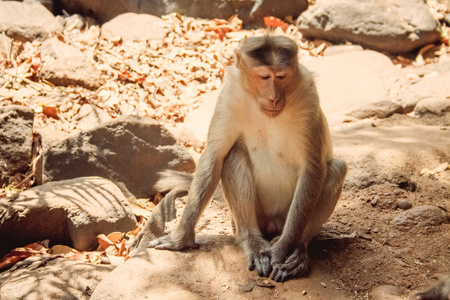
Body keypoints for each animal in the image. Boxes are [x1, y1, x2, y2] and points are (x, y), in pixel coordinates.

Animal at [149, 34, 346, 282]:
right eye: (264, 76)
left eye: (282, 76)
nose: (273, 98)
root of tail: (271, 224)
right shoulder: (229, 95)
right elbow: (215, 157)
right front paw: (180, 239)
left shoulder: (308, 96)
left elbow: (313, 168)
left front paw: (283, 250)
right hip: (254, 218)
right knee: (233, 155)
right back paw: (252, 241)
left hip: (285, 218)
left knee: (336, 169)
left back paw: (298, 249)